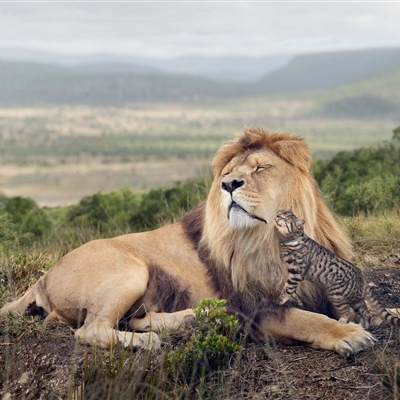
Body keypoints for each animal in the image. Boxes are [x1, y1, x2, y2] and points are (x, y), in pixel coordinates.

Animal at [0, 128, 376, 356]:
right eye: (229, 173)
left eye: (261, 168)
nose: (229, 184)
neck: (270, 237)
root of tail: (43, 277)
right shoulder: (255, 309)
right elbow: (306, 319)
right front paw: (349, 334)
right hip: (130, 270)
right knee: (91, 330)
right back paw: (148, 341)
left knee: (130, 319)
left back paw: (193, 317)